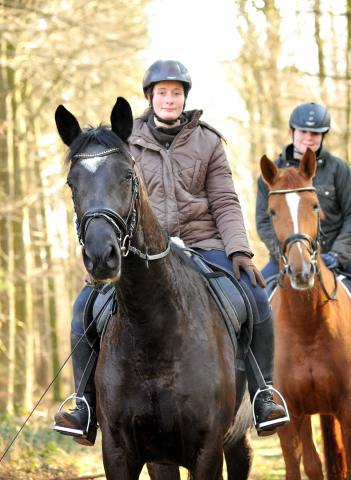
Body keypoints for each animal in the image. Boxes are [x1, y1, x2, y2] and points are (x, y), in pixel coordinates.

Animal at [54, 97, 253, 480]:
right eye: (71, 183)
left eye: (127, 175)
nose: (101, 256)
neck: (153, 329)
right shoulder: (121, 451)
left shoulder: (208, 451)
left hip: (236, 441)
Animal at [262, 147, 351, 480]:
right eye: (272, 212)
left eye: (315, 206)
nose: (301, 273)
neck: (307, 326)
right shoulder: (290, 416)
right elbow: (300, 465)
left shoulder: (346, 408)